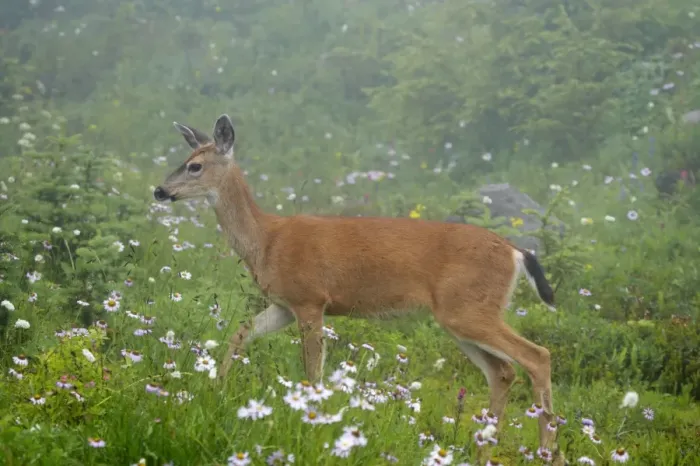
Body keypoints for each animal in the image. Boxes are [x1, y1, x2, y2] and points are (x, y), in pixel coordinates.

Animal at [154, 114, 566, 464]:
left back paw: (546, 450)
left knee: (537, 356)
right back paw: (484, 448)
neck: (267, 240)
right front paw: (216, 388)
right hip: (460, 316)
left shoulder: (310, 299)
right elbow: (240, 333)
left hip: (468, 308)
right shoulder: (285, 304)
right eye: (185, 159)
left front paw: (312, 420)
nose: (159, 190)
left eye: (195, 165)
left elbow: (313, 368)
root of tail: (516, 251)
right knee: (503, 371)